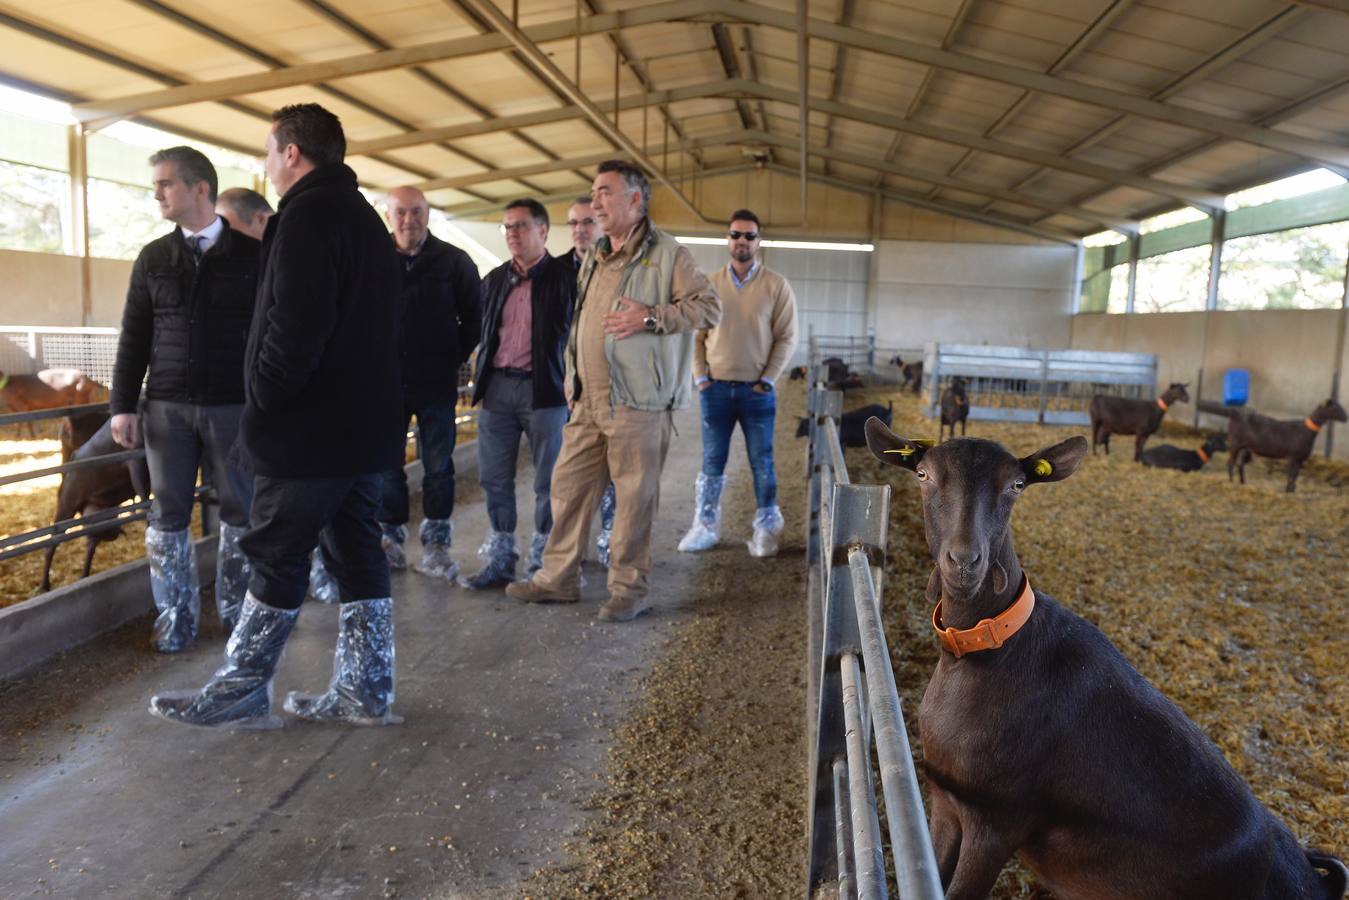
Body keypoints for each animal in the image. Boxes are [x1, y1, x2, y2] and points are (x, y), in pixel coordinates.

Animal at [863, 418, 1349, 900]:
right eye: (923, 475)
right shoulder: (946, 801)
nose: (965, 561)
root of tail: (1314, 881)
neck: (990, 647)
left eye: (1017, 485)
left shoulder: (998, 819)